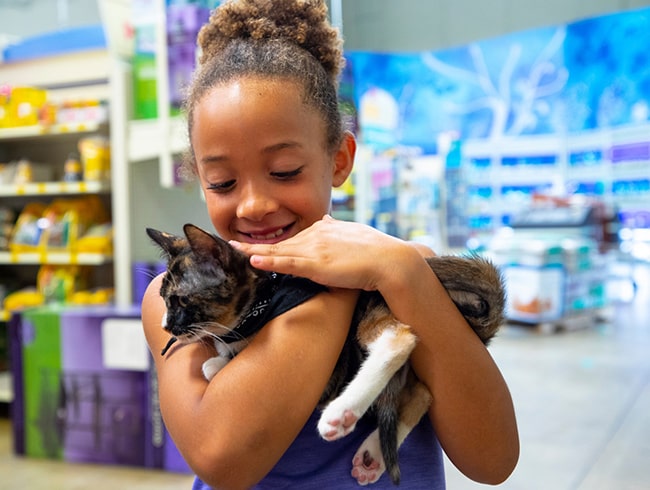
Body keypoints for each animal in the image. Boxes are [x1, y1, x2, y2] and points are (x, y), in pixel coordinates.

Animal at [147, 225, 506, 486]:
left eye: (179, 301)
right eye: (163, 299)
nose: (164, 326)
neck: (262, 300)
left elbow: (222, 358)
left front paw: (219, 359)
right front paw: (221, 356)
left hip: (370, 312)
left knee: (399, 341)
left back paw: (342, 413)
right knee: (423, 392)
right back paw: (374, 454)